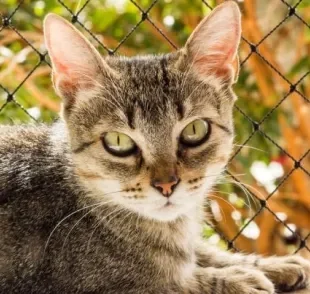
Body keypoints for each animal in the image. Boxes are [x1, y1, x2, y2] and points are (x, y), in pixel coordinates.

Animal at [0, 1, 310, 292]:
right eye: (118, 142)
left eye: (195, 130)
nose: (166, 185)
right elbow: (177, 283)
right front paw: (238, 279)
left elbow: (205, 252)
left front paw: (273, 264)